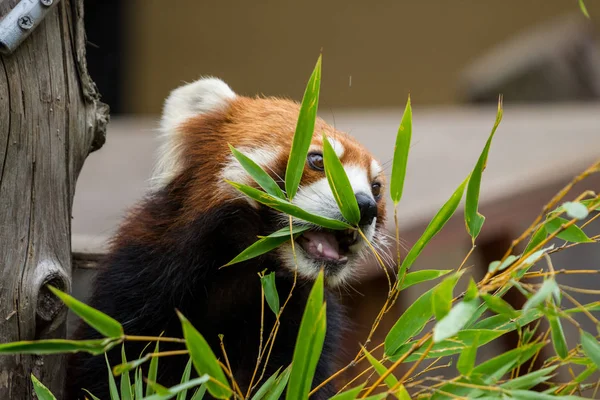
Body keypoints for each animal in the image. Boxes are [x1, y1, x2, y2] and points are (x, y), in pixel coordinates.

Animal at [65, 76, 390, 398]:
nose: (365, 207)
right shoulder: (134, 292)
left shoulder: (305, 335)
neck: (247, 278)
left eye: (376, 187)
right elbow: (111, 370)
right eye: (317, 160)